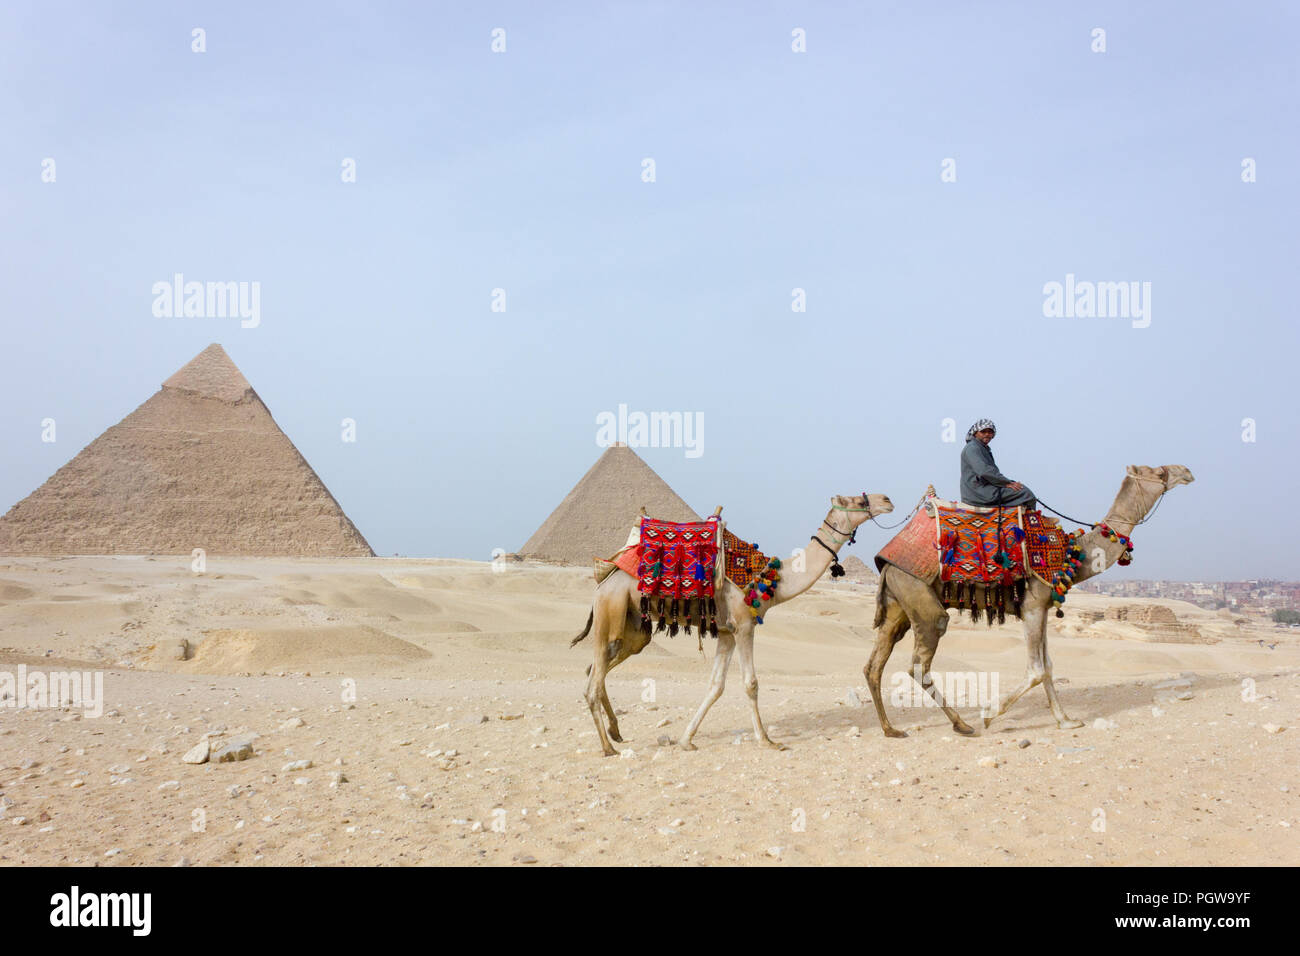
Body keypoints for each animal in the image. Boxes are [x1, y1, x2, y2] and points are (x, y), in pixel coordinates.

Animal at [577, 494, 894, 754]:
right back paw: (607, 746)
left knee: (595, 669)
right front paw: (766, 740)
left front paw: (686, 740)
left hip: (632, 629)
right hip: (610, 612)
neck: (770, 581)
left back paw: (615, 731)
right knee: (593, 680)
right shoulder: (743, 626)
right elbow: (750, 683)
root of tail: (602, 582)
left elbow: (715, 686)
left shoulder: (726, 632)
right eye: (858, 500)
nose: (887, 500)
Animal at [868, 468, 1190, 738]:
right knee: (919, 663)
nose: (1185, 471)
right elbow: (1037, 670)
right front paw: (989, 713)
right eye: (1159, 472)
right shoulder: (1033, 605)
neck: (1071, 552)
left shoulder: (1042, 608)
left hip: (899, 604)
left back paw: (890, 729)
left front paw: (1066, 720)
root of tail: (886, 559)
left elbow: (1048, 665)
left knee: (875, 663)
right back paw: (962, 724)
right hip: (920, 596)